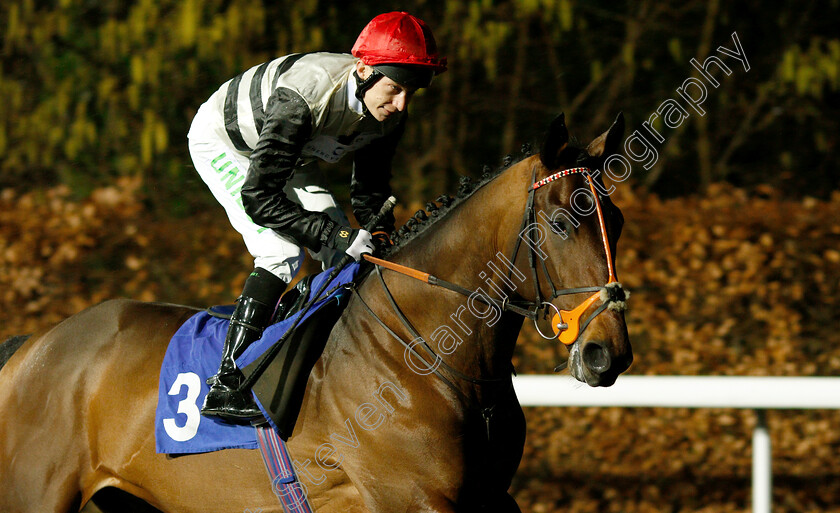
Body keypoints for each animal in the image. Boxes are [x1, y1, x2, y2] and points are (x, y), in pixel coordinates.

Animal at [0, 113, 632, 512]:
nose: (609, 353)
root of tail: (32, 347)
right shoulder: (413, 497)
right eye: (561, 221)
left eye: (618, 222)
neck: (425, 353)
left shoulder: (490, 497)